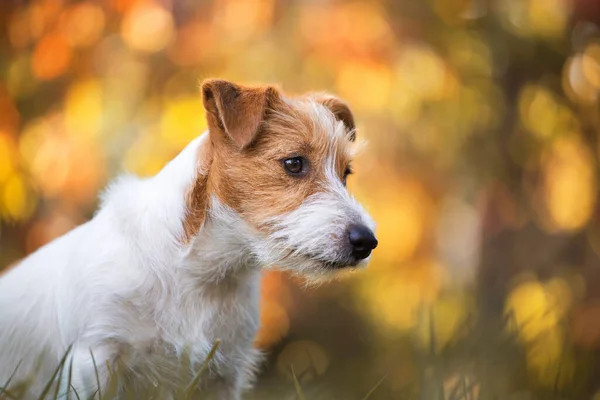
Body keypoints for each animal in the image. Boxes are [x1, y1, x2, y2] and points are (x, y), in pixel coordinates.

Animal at [0, 79, 376, 400]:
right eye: (294, 163)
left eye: (346, 174)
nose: (367, 241)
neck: (201, 272)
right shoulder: (95, 359)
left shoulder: (222, 375)